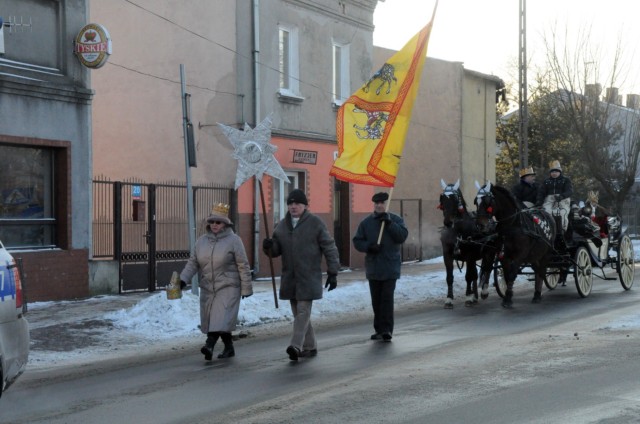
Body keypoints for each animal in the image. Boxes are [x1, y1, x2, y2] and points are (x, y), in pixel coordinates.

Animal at [438, 179, 498, 308]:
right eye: (442, 199)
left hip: (490, 252)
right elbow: (450, 277)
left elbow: (468, 276)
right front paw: (449, 299)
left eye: (455, 199)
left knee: (488, 269)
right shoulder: (447, 254)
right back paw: (475, 295)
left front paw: (468, 297)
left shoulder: (469, 255)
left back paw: (483, 292)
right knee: (476, 273)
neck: (456, 232)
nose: (448, 222)